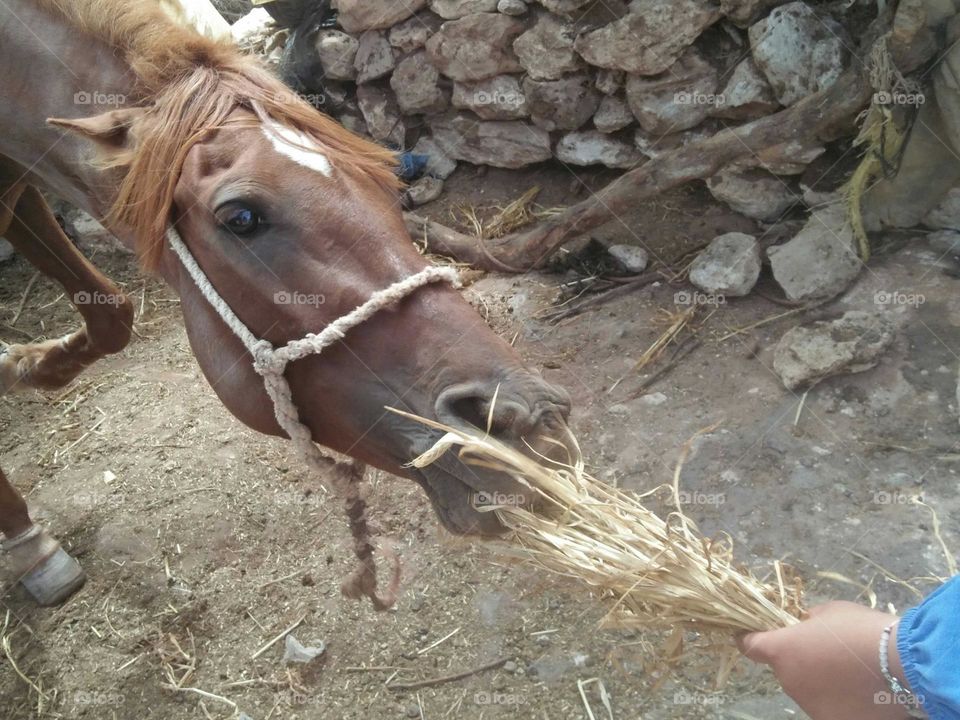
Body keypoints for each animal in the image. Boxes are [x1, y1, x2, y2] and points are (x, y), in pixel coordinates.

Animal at [0, 0, 568, 604]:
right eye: (241, 217)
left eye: (390, 181)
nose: (534, 422)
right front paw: (31, 546)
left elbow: (113, 315)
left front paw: (22, 366)